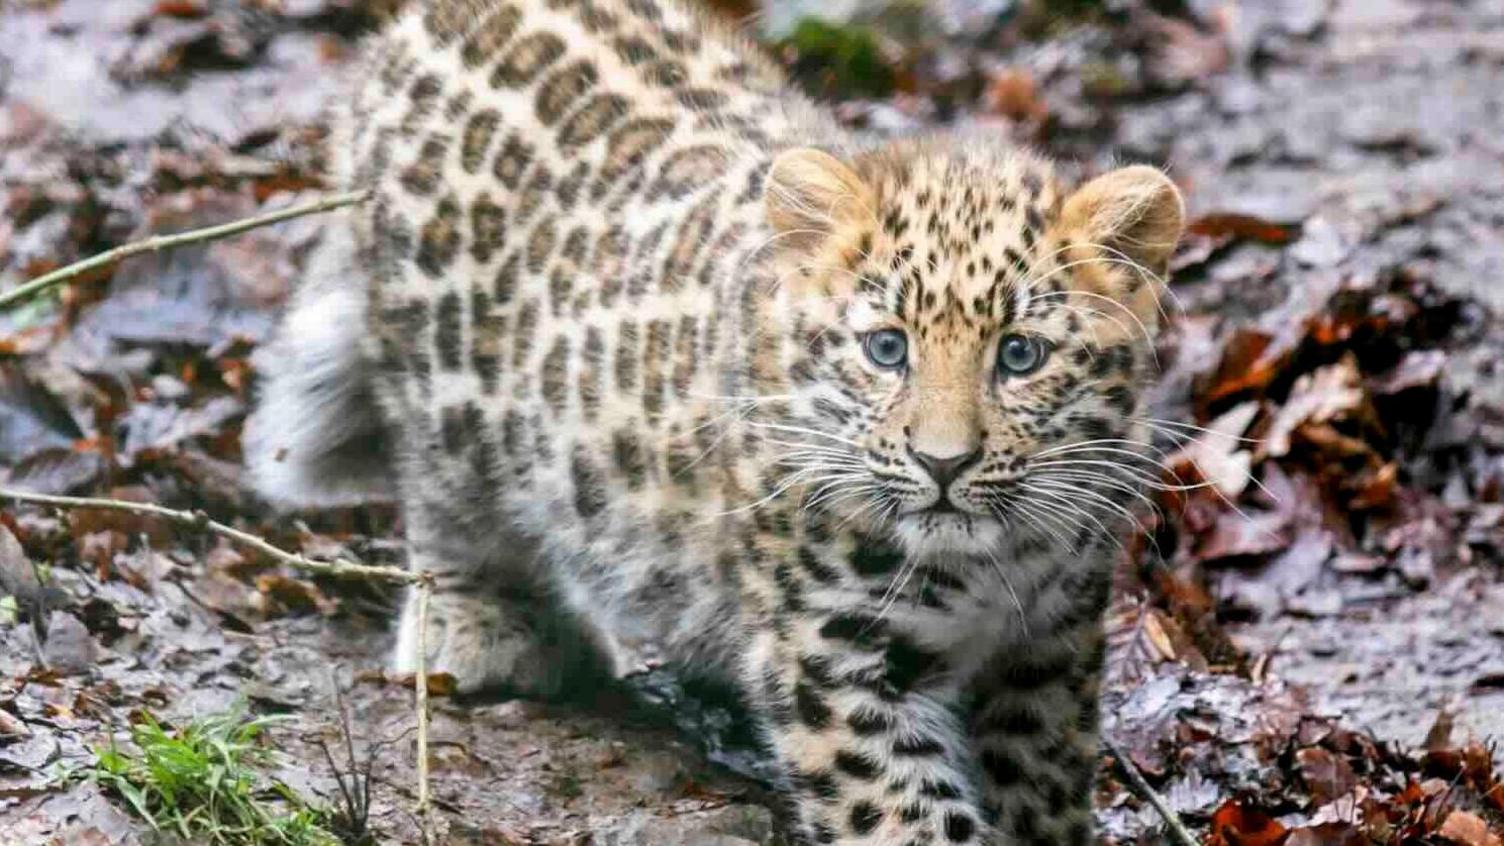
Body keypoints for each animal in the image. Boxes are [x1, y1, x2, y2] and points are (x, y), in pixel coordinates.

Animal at [242, 0, 1185, 842]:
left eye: (1020, 356)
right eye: (887, 349)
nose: (943, 463)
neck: (992, 564)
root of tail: (415, 28)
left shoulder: (1051, 649)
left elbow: (1040, 786)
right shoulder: (830, 657)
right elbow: (905, 818)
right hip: (441, 386)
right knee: (447, 501)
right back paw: (482, 629)